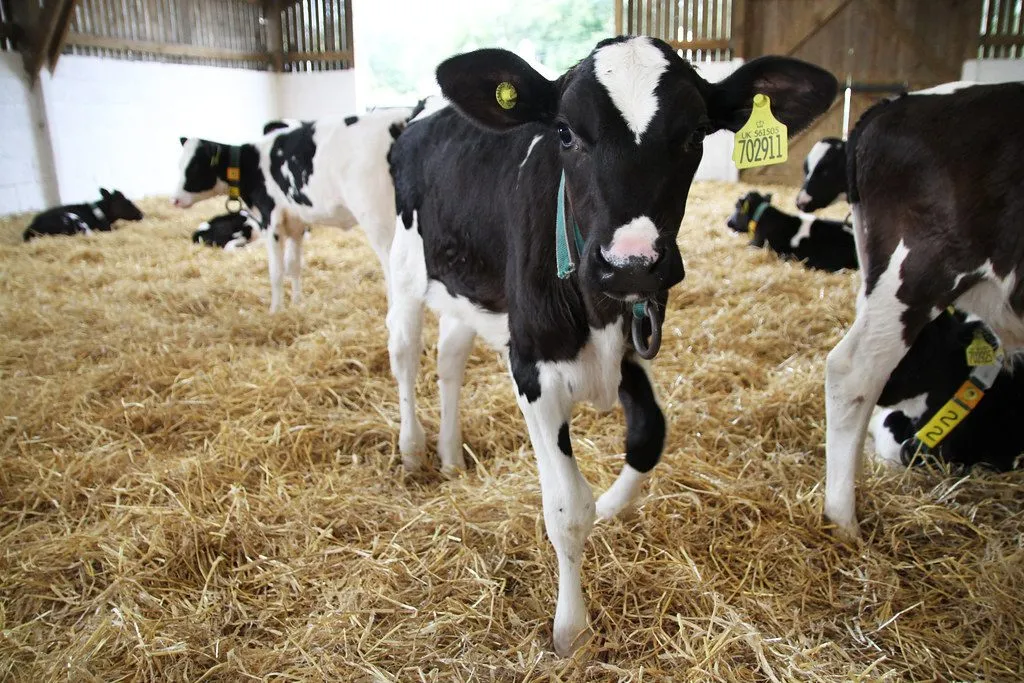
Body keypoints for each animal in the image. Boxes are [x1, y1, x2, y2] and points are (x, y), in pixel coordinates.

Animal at [173, 108, 413, 311]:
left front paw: (275, 311)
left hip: (380, 221)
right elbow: (293, 265)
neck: (253, 163)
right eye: (179, 164)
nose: (174, 199)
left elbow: (276, 271)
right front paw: (298, 303)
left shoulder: (270, 220)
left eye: (195, 166)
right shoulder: (296, 224)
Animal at [387, 37, 837, 654]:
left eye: (696, 132)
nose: (631, 261)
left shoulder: (629, 348)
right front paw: (570, 632)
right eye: (565, 132)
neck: (598, 312)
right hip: (406, 267)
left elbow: (649, 437)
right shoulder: (534, 365)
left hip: (469, 295)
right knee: (405, 354)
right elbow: (567, 507)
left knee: (449, 360)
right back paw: (413, 450)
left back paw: (452, 458)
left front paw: (610, 507)